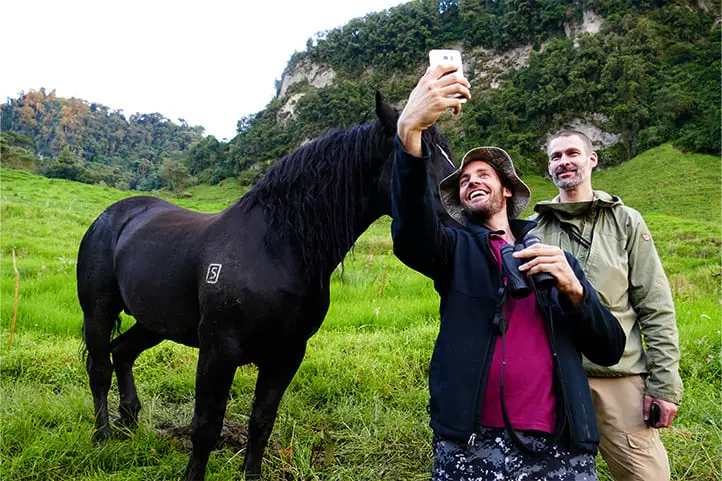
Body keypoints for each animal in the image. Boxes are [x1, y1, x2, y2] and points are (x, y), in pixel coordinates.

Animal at [76, 92, 452, 478]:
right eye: (420, 156)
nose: (462, 209)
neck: (276, 250)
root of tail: (114, 214)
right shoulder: (219, 351)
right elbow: (206, 426)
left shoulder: (286, 355)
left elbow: (261, 422)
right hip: (98, 312)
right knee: (99, 369)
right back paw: (103, 436)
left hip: (154, 322)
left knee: (122, 352)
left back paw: (129, 421)